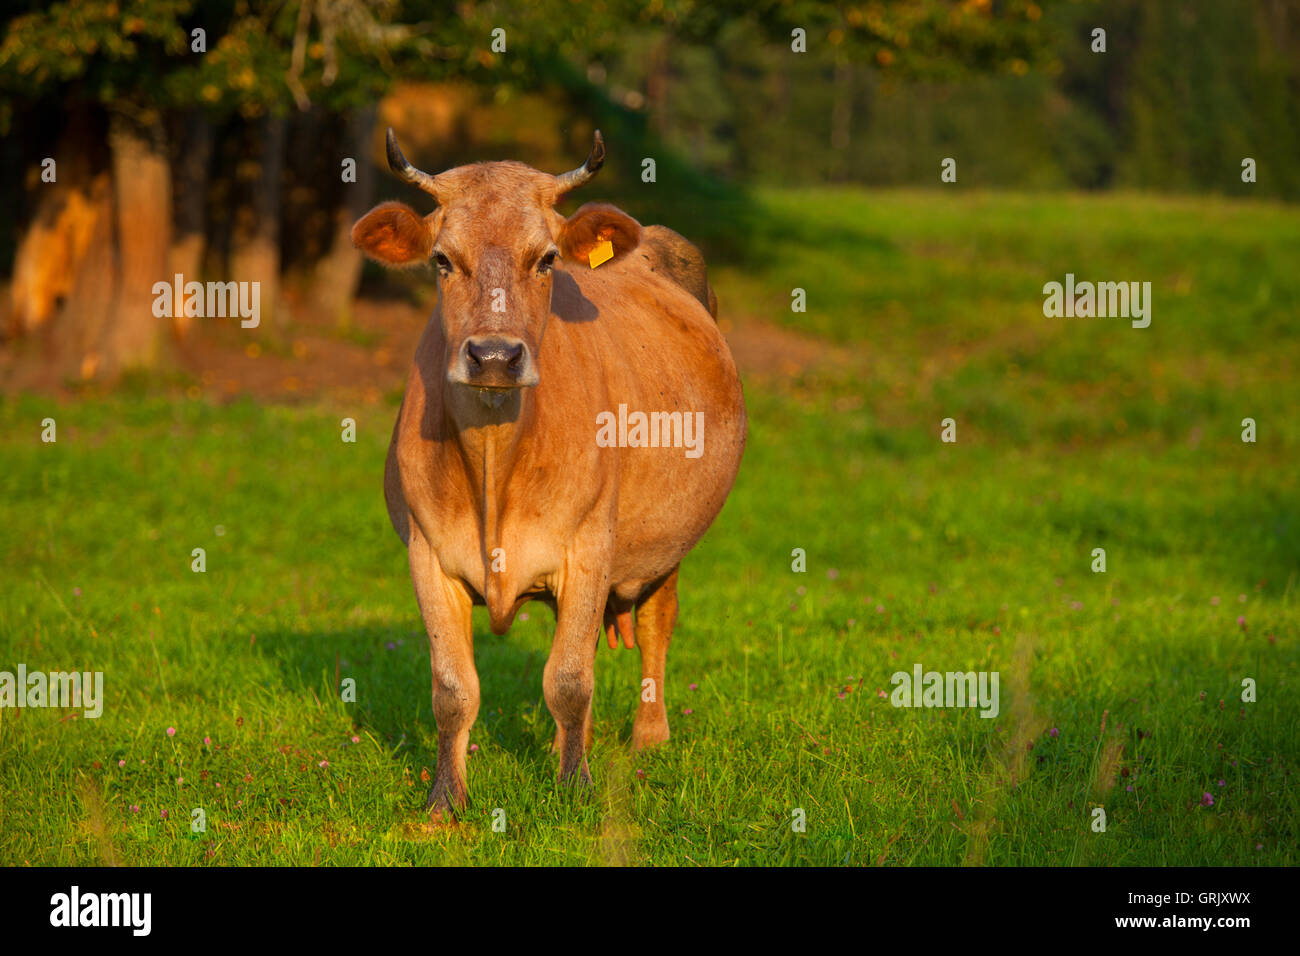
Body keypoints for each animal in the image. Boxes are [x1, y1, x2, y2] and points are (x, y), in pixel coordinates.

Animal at [351, 125, 748, 816]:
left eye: (546, 260)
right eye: (442, 260)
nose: (494, 356)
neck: (494, 462)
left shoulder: (588, 546)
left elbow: (567, 681)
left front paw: (574, 788)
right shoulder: (427, 554)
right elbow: (453, 690)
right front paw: (444, 802)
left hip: (668, 541)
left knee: (655, 623)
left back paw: (648, 738)